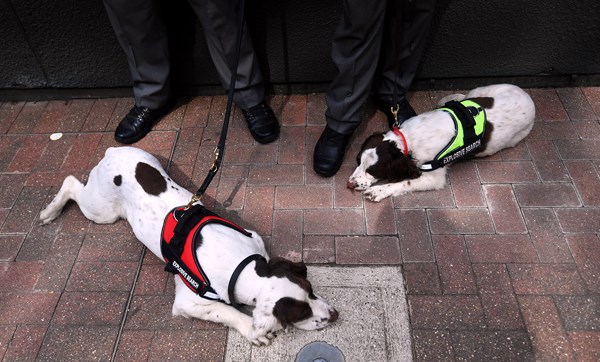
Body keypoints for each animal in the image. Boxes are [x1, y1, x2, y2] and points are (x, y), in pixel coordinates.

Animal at [38, 146, 338, 346]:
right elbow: (228, 311)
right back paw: (50, 212)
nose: (334, 316)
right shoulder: (189, 301)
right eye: (300, 314)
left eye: (311, 291)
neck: (243, 267)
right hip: (100, 210)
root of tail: (111, 151)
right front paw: (253, 331)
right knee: (71, 184)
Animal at [346, 84, 536, 202]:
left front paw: (379, 191)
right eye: (357, 161)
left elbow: (404, 183)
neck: (409, 137)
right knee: (467, 96)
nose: (350, 184)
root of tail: (527, 96)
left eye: (372, 170)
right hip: (483, 91)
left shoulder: (434, 177)